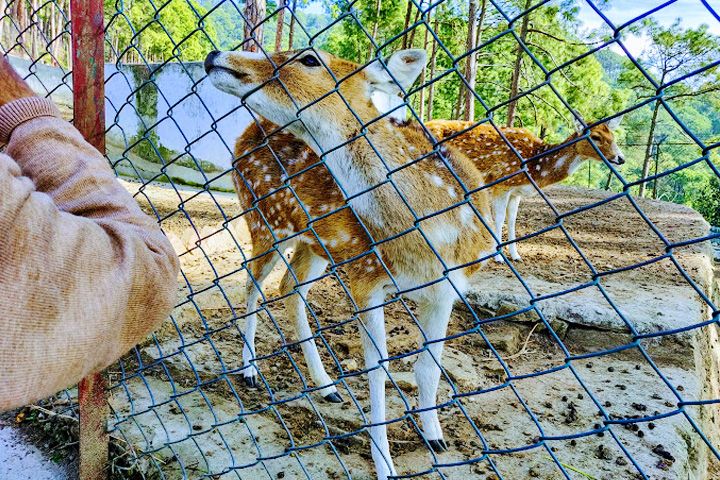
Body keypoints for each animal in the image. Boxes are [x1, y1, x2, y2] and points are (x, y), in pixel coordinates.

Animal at [205, 47, 495, 480]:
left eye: (310, 59)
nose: (214, 55)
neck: (431, 241)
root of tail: (243, 135)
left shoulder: (449, 288)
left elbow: (429, 367)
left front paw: (435, 436)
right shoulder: (366, 277)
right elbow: (380, 370)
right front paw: (385, 464)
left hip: (315, 244)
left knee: (288, 288)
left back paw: (326, 385)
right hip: (264, 219)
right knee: (252, 285)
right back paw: (251, 371)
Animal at [425, 117, 624, 261]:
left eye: (613, 137)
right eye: (596, 136)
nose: (621, 158)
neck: (534, 165)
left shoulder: (516, 192)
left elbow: (512, 220)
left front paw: (515, 255)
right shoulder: (501, 183)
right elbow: (499, 219)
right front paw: (498, 257)